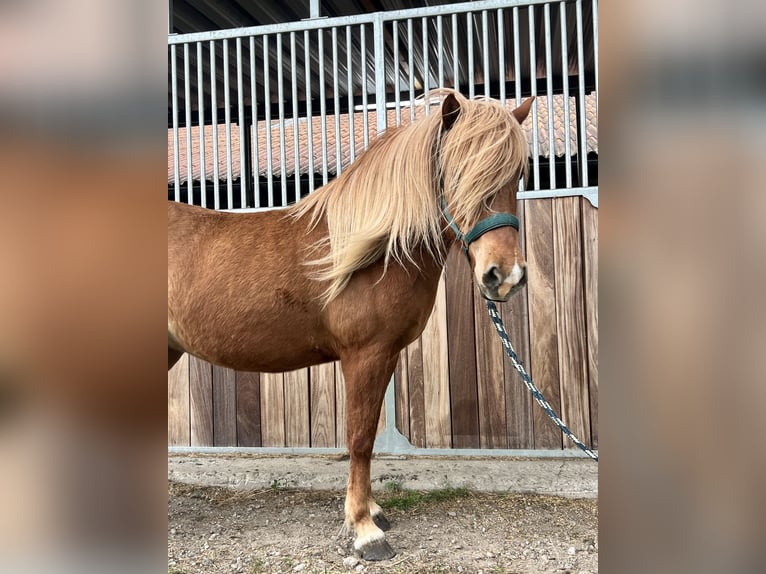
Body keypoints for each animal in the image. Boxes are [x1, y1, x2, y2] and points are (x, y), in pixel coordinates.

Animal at [168, 89, 533, 560]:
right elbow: (359, 438)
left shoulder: (385, 355)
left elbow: (370, 434)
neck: (374, 251)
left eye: (519, 173)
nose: (503, 275)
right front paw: (365, 530)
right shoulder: (365, 355)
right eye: (457, 172)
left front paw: (373, 512)